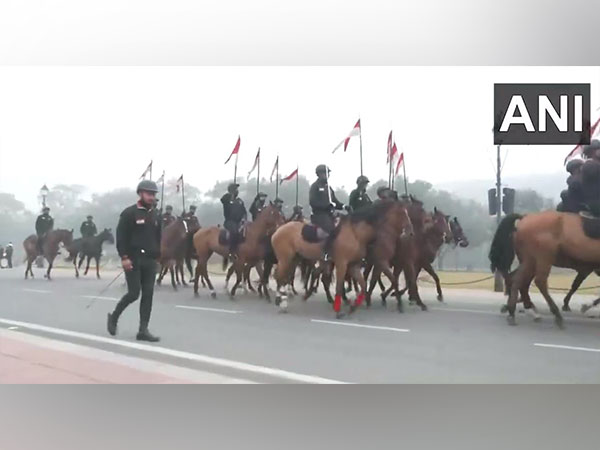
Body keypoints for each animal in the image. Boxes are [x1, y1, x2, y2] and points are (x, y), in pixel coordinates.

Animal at [272, 200, 412, 316]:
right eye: (402, 213)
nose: (411, 231)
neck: (356, 233)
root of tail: (278, 230)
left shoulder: (354, 265)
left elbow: (365, 285)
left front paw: (355, 306)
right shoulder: (346, 264)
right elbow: (340, 286)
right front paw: (339, 310)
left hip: (296, 259)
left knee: (293, 276)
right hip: (286, 259)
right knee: (280, 276)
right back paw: (282, 301)